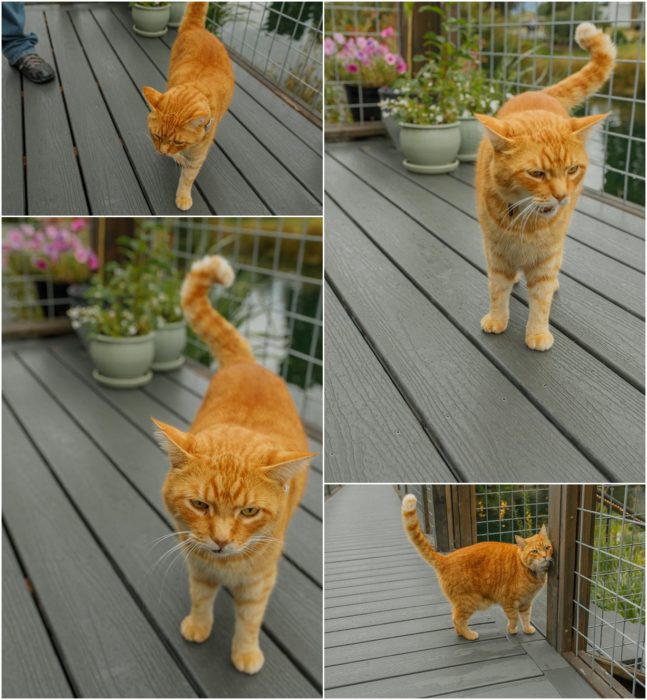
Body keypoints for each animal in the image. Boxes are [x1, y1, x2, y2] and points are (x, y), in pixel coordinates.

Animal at [142, 3, 235, 211]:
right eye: (156, 136)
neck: (196, 86)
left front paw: (183, 196)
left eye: (178, 141)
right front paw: (177, 158)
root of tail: (197, 28)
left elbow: (188, 177)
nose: (162, 152)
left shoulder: (198, 155)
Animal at [153, 256, 312, 672]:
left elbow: (250, 619)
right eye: (199, 504)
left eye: (250, 511)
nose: (221, 541)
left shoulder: (259, 580)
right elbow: (200, 597)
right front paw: (198, 625)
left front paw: (245, 652)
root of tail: (247, 363)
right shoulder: (197, 564)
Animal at [404, 492, 552, 640]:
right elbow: (514, 618)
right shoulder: (509, 602)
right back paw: (469, 635)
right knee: (457, 620)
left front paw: (527, 629)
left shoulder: (526, 603)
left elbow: (526, 618)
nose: (544, 556)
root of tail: (446, 558)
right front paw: (512, 630)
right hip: (468, 602)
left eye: (547, 547)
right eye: (535, 551)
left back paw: (462, 633)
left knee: (455, 618)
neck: (532, 572)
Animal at [476, 24, 616, 352]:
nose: (562, 195)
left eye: (572, 170)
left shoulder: (546, 257)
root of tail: (540, 93)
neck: (523, 221)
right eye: (536, 173)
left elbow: (541, 299)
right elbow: (497, 288)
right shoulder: (496, 251)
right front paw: (497, 318)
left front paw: (537, 333)